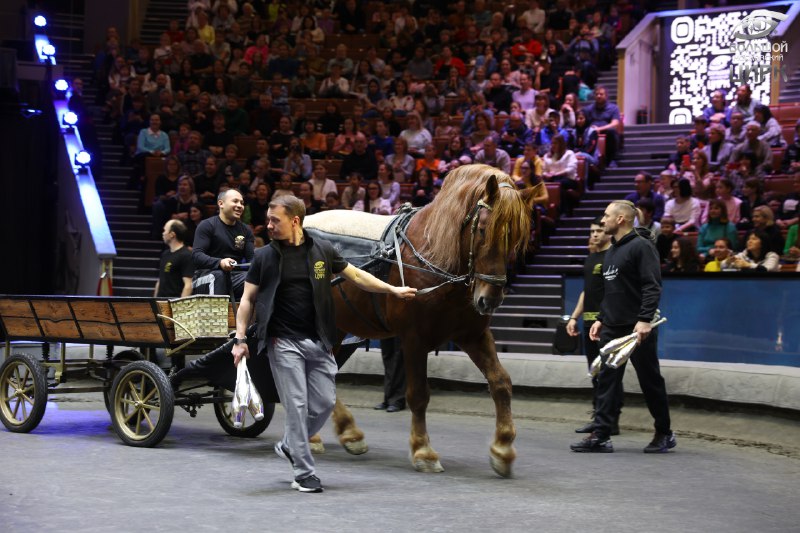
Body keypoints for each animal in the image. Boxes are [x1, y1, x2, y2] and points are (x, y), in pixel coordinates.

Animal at [304, 164, 536, 476]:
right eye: (483, 230)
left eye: (517, 237)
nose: (490, 299)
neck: (435, 257)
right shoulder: (414, 339)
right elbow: (418, 395)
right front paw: (423, 450)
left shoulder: (473, 335)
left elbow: (500, 382)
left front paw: (503, 448)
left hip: (337, 329)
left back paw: (345, 432)